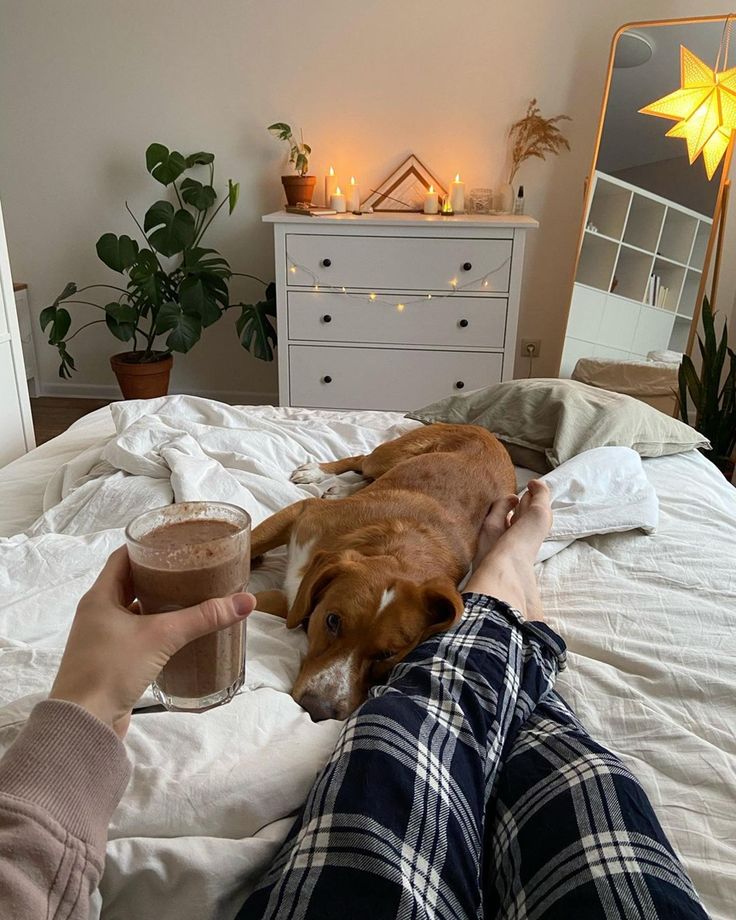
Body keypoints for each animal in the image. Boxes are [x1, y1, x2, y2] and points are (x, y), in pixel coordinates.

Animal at [250, 424, 516, 720]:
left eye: (387, 654)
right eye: (332, 621)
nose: (318, 709)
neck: (395, 550)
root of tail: (485, 431)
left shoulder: (297, 599)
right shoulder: (302, 514)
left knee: (366, 477)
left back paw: (341, 488)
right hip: (388, 456)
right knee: (362, 460)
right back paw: (318, 472)